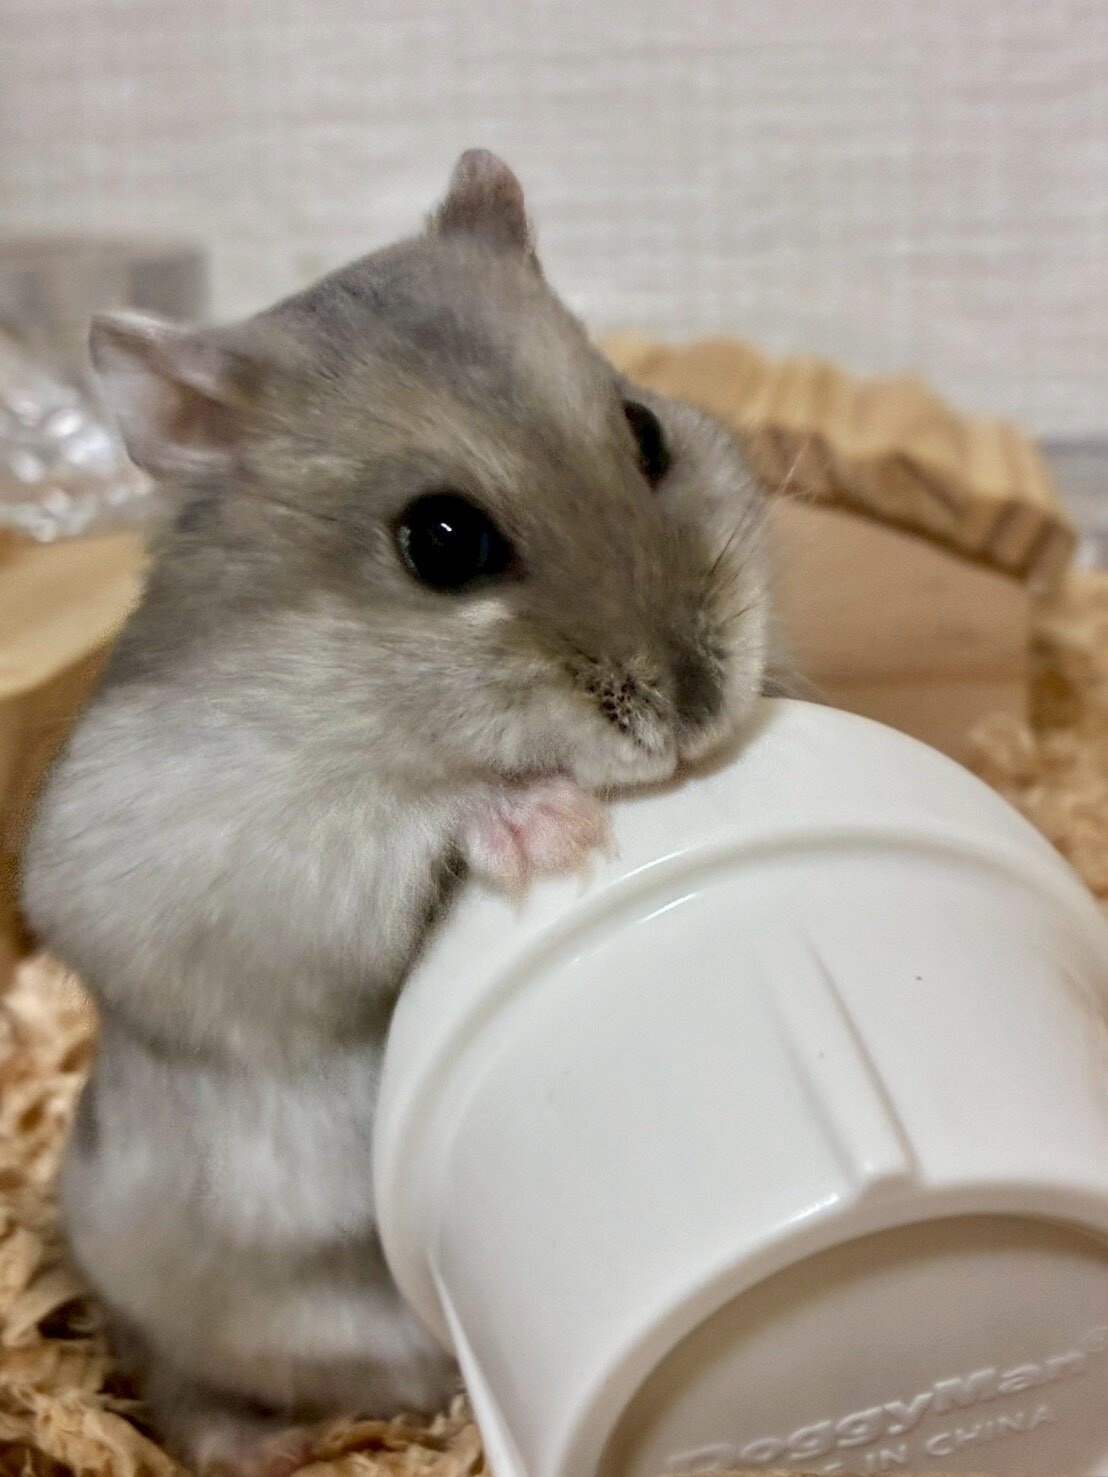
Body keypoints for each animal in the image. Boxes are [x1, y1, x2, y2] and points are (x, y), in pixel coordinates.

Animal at [21, 150, 771, 1471]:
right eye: (442, 541)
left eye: (642, 430)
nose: (695, 705)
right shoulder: (208, 851)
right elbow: (411, 815)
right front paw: (552, 828)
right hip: (149, 1288)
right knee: (175, 1379)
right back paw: (255, 1448)